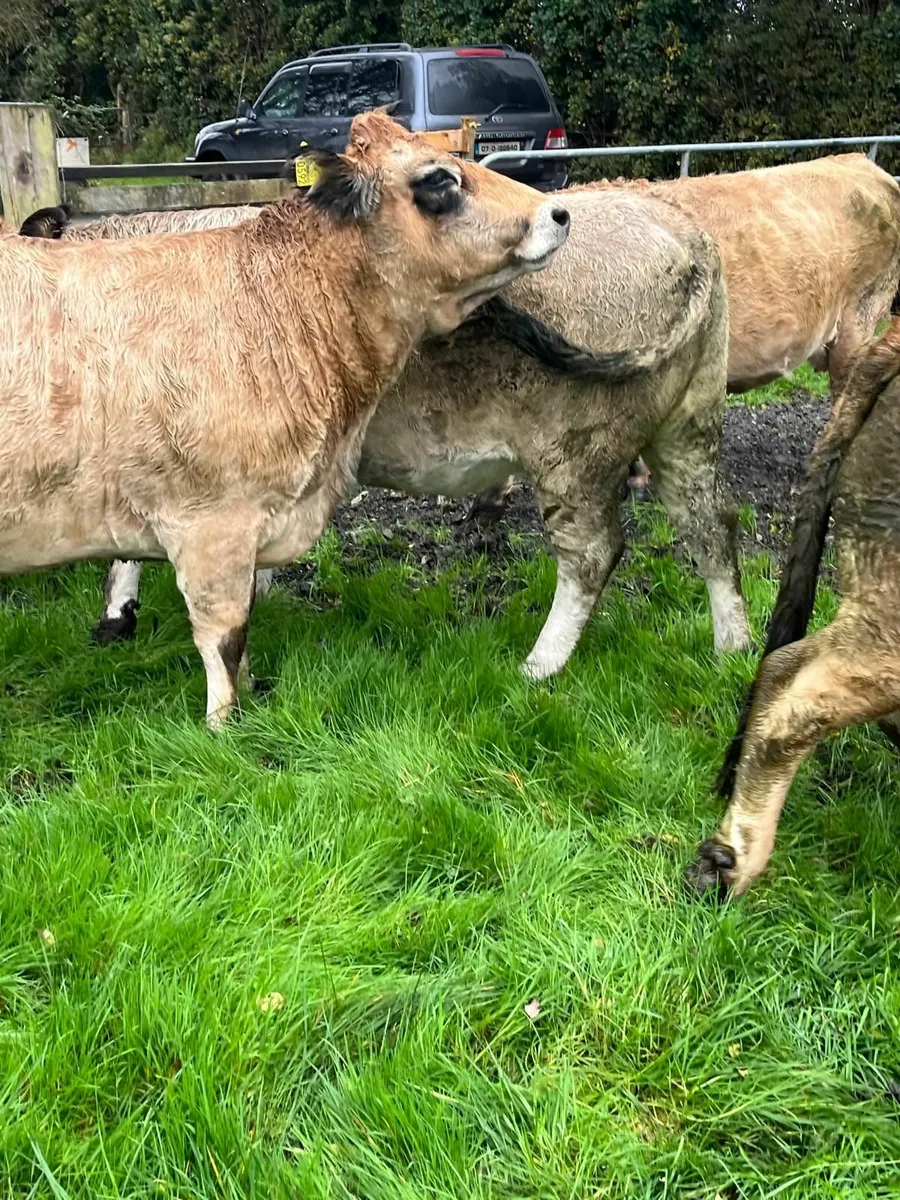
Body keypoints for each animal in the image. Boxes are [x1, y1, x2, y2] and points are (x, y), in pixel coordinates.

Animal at [24, 185, 752, 676]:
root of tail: (673, 219)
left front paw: (119, 615)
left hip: (574, 449)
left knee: (593, 553)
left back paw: (539, 666)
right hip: (688, 424)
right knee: (712, 526)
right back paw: (733, 646)